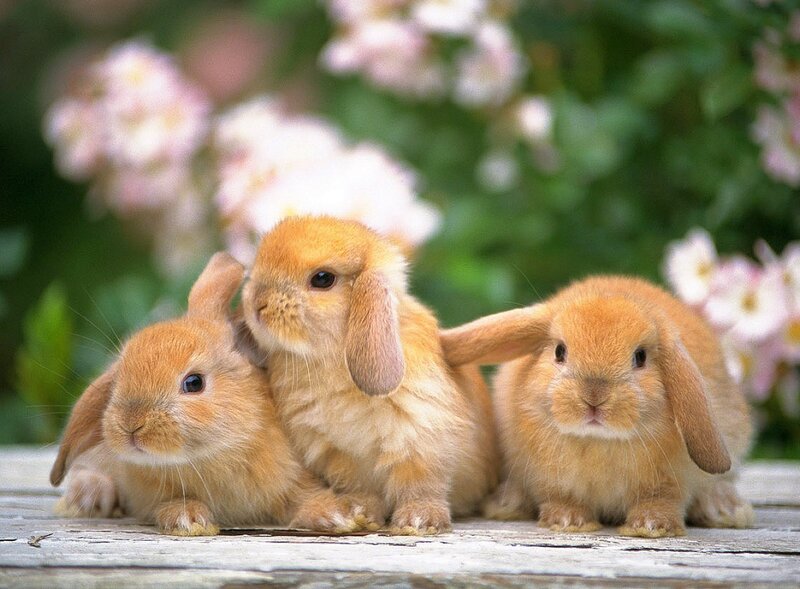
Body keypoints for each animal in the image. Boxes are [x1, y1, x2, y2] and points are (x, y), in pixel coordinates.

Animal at [50, 252, 355, 536]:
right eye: (118, 380)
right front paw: (188, 519)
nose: (131, 425)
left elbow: (302, 498)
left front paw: (337, 515)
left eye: (194, 382)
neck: (214, 456)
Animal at [241, 215, 499, 535]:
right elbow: (360, 488)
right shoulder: (338, 455)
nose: (257, 304)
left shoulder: (421, 441)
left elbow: (421, 485)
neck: (332, 359)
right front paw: (359, 513)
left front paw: (418, 521)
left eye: (322, 279)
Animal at [440, 275, 754, 538]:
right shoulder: (551, 480)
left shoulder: (670, 483)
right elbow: (561, 498)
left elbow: (662, 501)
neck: (598, 441)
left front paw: (651, 526)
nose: (594, 397)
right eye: (560, 351)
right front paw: (568, 521)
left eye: (640, 357)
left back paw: (726, 510)